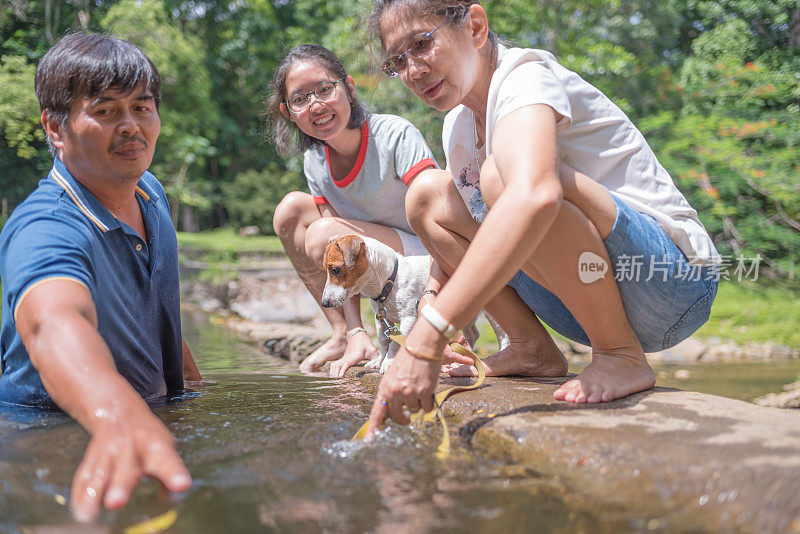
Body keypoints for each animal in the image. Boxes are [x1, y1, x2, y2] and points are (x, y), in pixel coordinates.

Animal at [318, 236, 506, 376]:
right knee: (472, 335)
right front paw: (379, 360)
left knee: (501, 334)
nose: (324, 303)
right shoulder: (380, 319)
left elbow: (395, 343)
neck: (390, 280)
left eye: (335, 269)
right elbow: (383, 341)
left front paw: (388, 363)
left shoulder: (408, 318)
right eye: (326, 270)